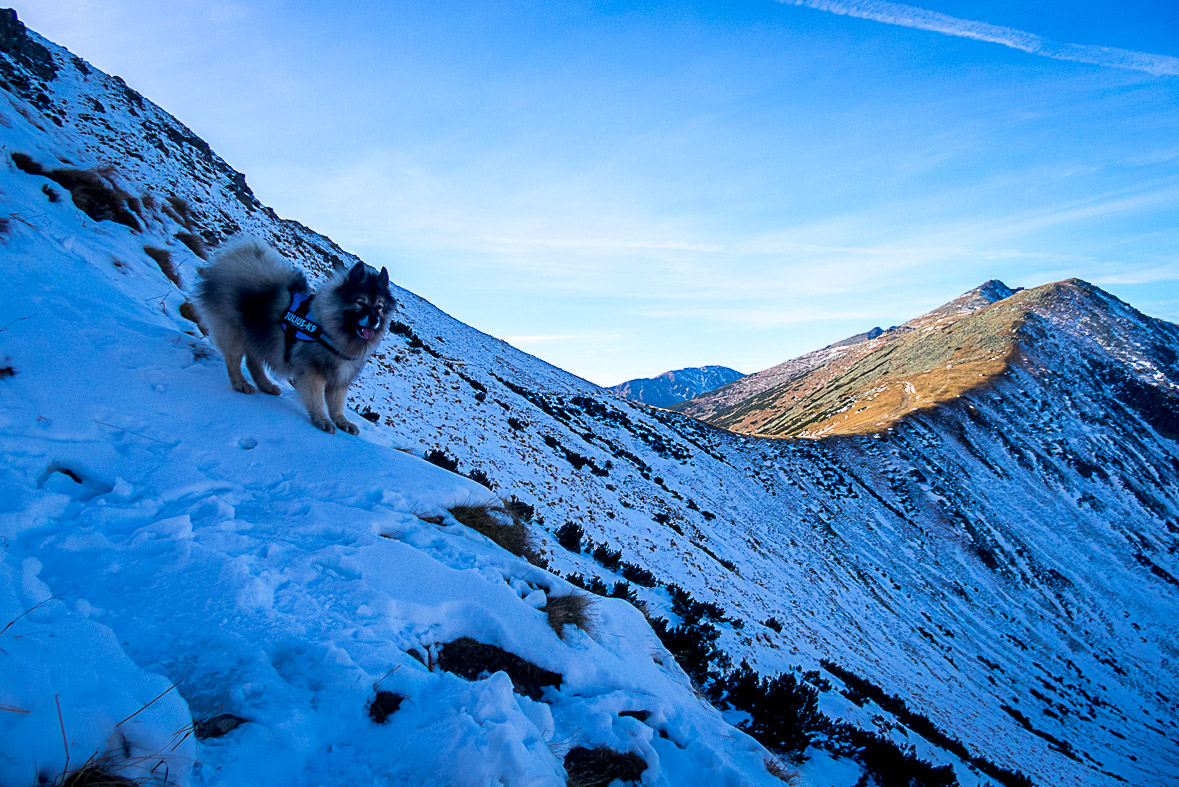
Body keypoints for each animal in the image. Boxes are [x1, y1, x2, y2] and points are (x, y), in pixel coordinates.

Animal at [195, 240, 393, 435]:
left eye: (380, 307)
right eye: (360, 302)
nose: (374, 319)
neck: (332, 330)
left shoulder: (340, 376)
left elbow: (337, 404)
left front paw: (342, 421)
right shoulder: (313, 370)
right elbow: (317, 399)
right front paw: (322, 419)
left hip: (261, 336)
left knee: (253, 362)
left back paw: (266, 385)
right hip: (236, 333)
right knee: (233, 361)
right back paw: (240, 383)